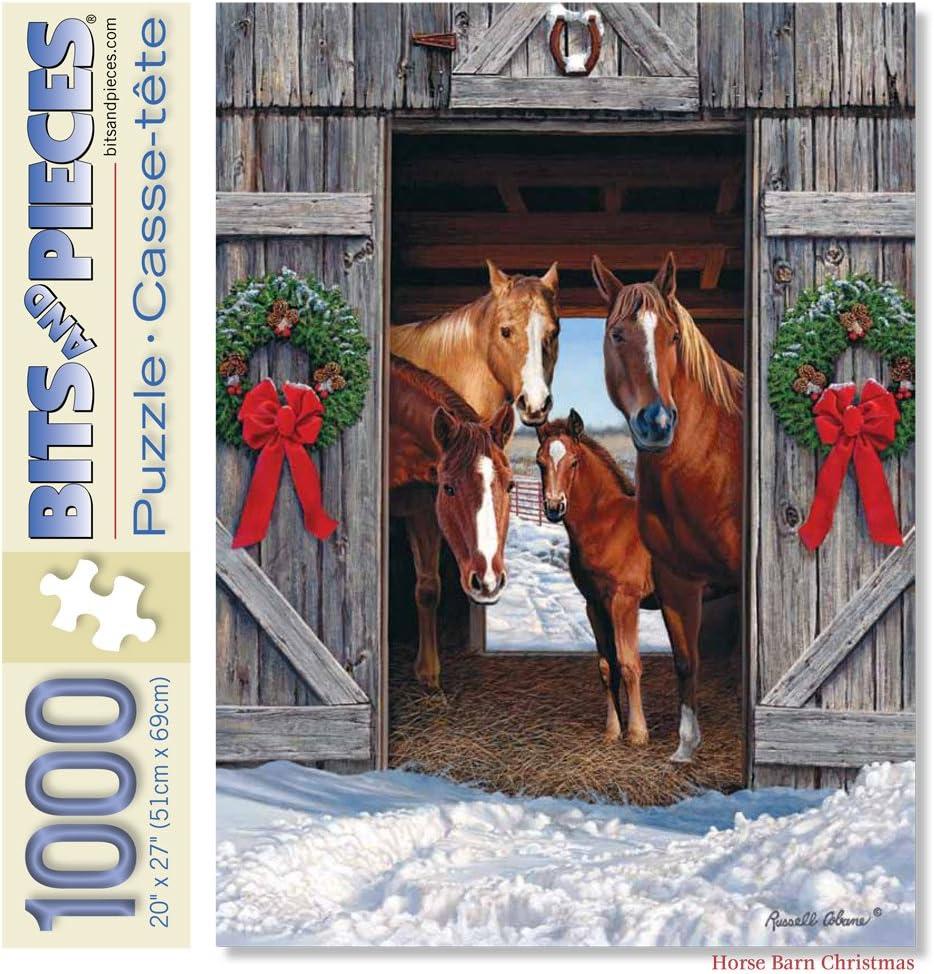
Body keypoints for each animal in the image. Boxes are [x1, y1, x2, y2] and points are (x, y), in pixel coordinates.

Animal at [389, 354, 515, 689]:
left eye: (510, 486)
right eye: (448, 488)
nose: (488, 580)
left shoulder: (423, 510)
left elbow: (428, 588)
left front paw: (428, 673)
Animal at [536, 411, 654, 745]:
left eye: (574, 461)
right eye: (540, 462)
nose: (554, 507)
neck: (609, 525)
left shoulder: (625, 601)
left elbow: (628, 663)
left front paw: (637, 733)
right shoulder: (595, 604)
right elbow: (606, 666)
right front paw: (612, 731)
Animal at [591, 252, 744, 763]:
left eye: (674, 336)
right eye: (617, 334)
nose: (656, 423)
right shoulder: (678, 580)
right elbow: (684, 661)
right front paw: (684, 746)